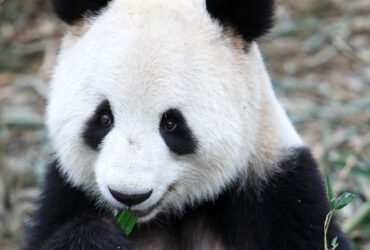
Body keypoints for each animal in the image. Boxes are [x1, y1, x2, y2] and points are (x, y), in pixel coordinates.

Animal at [25, 0, 350, 250]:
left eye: (171, 124)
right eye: (104, 118)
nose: (129, 195)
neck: (168, 215)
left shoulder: (280, 194)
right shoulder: (66, 194)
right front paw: (96, 237)